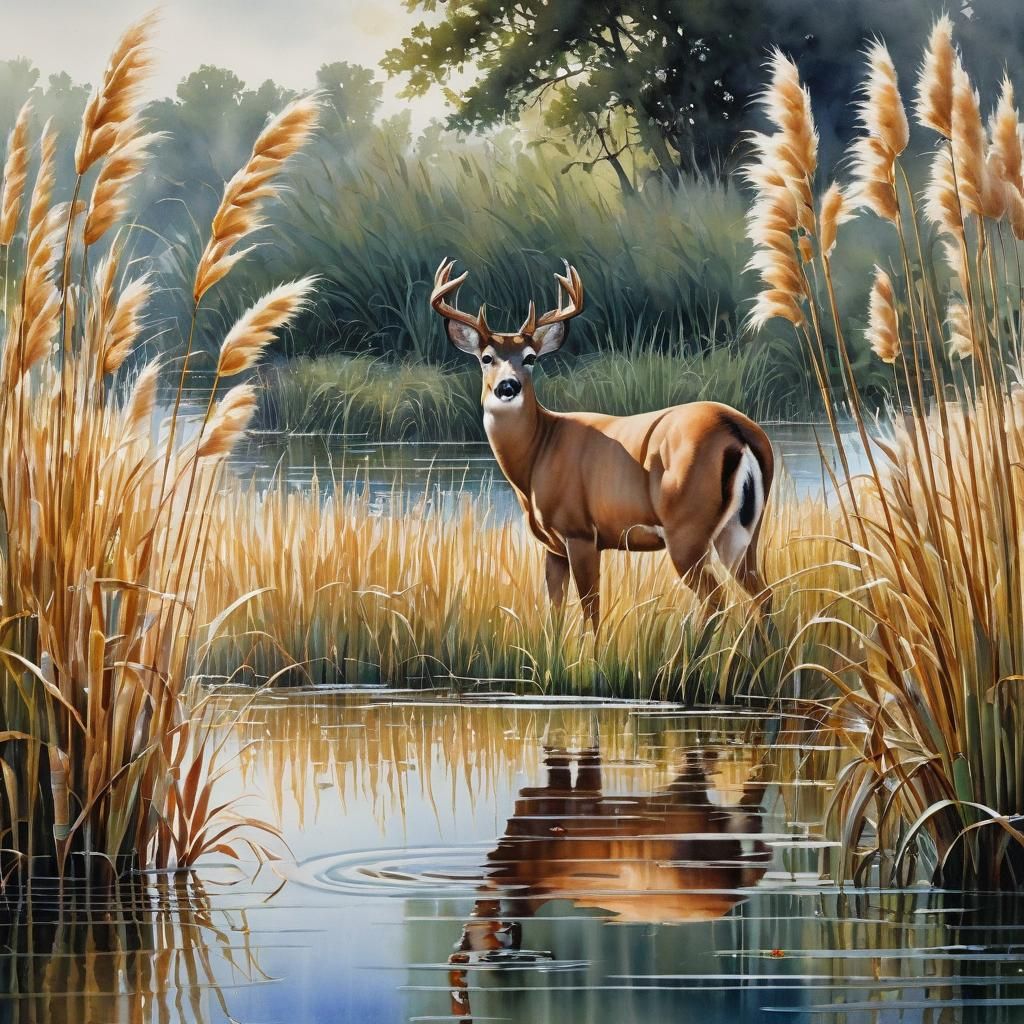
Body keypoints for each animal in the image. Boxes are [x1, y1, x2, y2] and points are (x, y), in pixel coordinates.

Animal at [430, 258, 774, 632]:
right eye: (486, 357)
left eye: (531, 357)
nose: (508, 386)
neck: (537, 454)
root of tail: (736, 429)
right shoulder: (553, 546)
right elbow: (554, 612)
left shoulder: (580, 532)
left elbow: (592, 612)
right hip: (744, 532)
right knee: (764, 596)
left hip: (687, 530)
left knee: (717, 602)